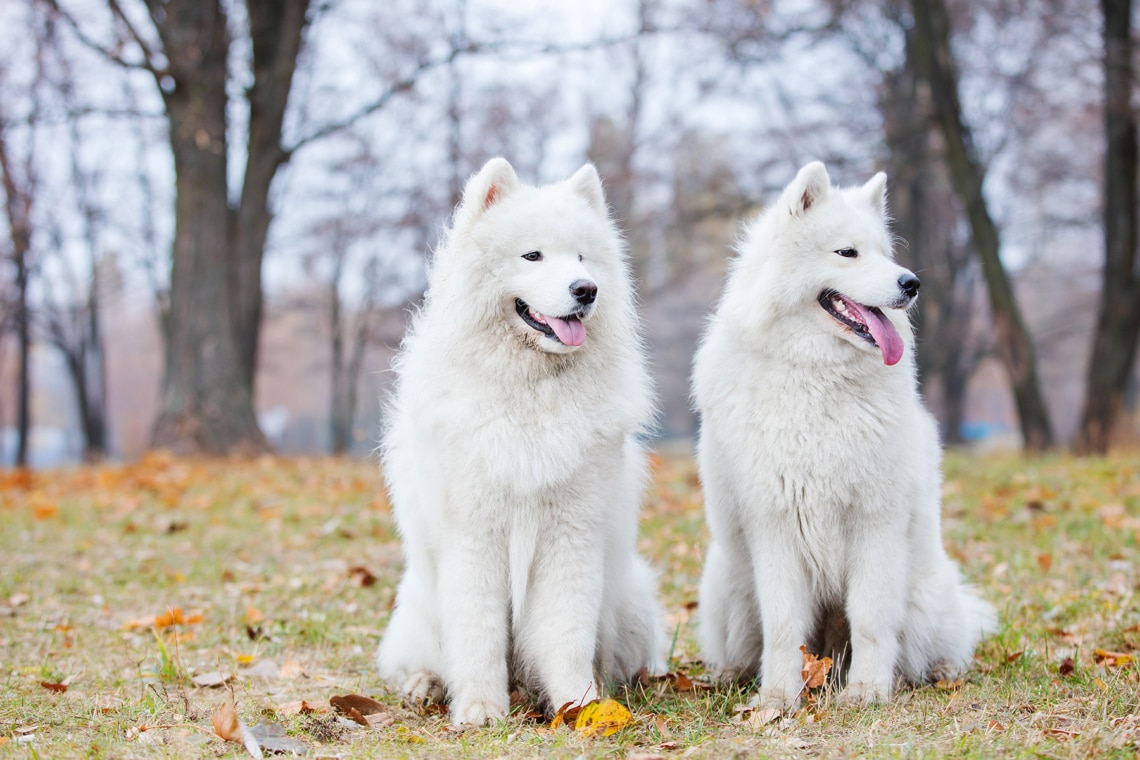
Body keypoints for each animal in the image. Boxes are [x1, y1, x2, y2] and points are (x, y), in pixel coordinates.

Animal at [376, 157, 661, 729]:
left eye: (582, 257)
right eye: (533, 255)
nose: (586, 289)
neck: (532, 389)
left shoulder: (571, 536)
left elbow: (567, 633)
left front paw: (582, 706)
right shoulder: (474, 538)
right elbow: (478, 635)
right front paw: (481, 710)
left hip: (631, 595)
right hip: (418, 607)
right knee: (415, 660)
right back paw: (425, 685)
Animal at [688, 161, 994, 715]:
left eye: (885, 252)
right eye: (846, 252)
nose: (912, 283)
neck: (817, 376)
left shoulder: (876, 522)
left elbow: (871, 620)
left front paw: (868, 692)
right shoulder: (775, 526)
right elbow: (784, 629)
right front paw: (778, 698)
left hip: (923, 593)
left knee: (937, 642)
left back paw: (939, 671)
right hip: (731, 588)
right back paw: (732, 676)